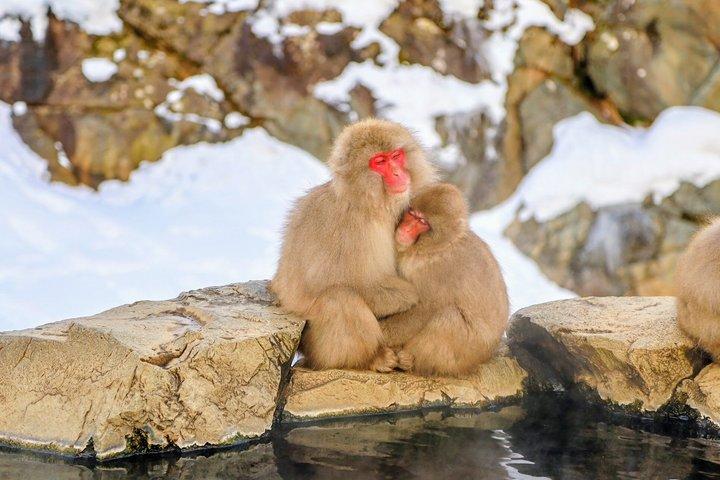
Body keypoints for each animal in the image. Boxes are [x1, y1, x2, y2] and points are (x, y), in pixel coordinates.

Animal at [271, 118, 437, 371]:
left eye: (395, 156)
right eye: (379, 161)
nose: (398, 172)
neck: (370, 205)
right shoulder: (345, 226)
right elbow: (331, 281)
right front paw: (410, 296)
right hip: (316, 346)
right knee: (339, 297)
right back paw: (371, 359)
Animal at [380, 183, 509, 377]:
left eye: (422, 222)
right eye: (412, 214)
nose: (406, 228)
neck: (436, 248)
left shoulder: (439, 271)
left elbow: (425, 310)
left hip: (467, 354)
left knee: (448, 317)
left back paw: (410, 361)